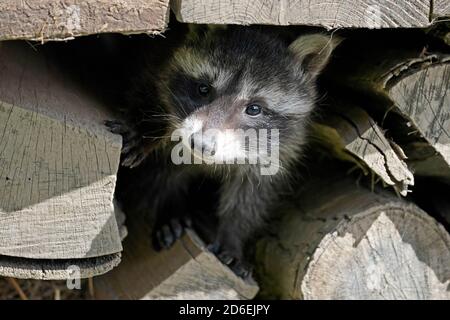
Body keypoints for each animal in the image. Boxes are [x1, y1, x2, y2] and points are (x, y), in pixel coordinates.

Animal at [108, 25, 342, 278]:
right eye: (203, 89)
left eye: (254, 108)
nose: (200, 144)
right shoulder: (158, 64)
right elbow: (157, 162)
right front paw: (168, 204)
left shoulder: (281, 148)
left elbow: (250, 197)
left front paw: (234, 237)